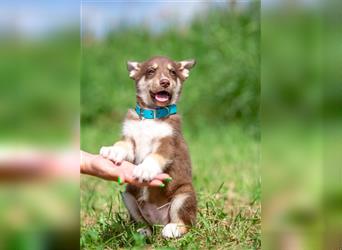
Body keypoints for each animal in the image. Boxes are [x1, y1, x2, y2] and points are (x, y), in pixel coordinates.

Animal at [99, 56, 195, 238]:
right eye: (151, 71)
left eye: (173, 72)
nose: (165, 82)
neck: (152, 115)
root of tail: (159, 222)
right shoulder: (130, 140)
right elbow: (122, 146)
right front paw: (112, 150)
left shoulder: (167, 142)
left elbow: (154, 156)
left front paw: (145, 169)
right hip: (128, 197)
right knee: (143, 223)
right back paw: (143, 231)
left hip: (184, 195)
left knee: (185, 222)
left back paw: (173, 228)